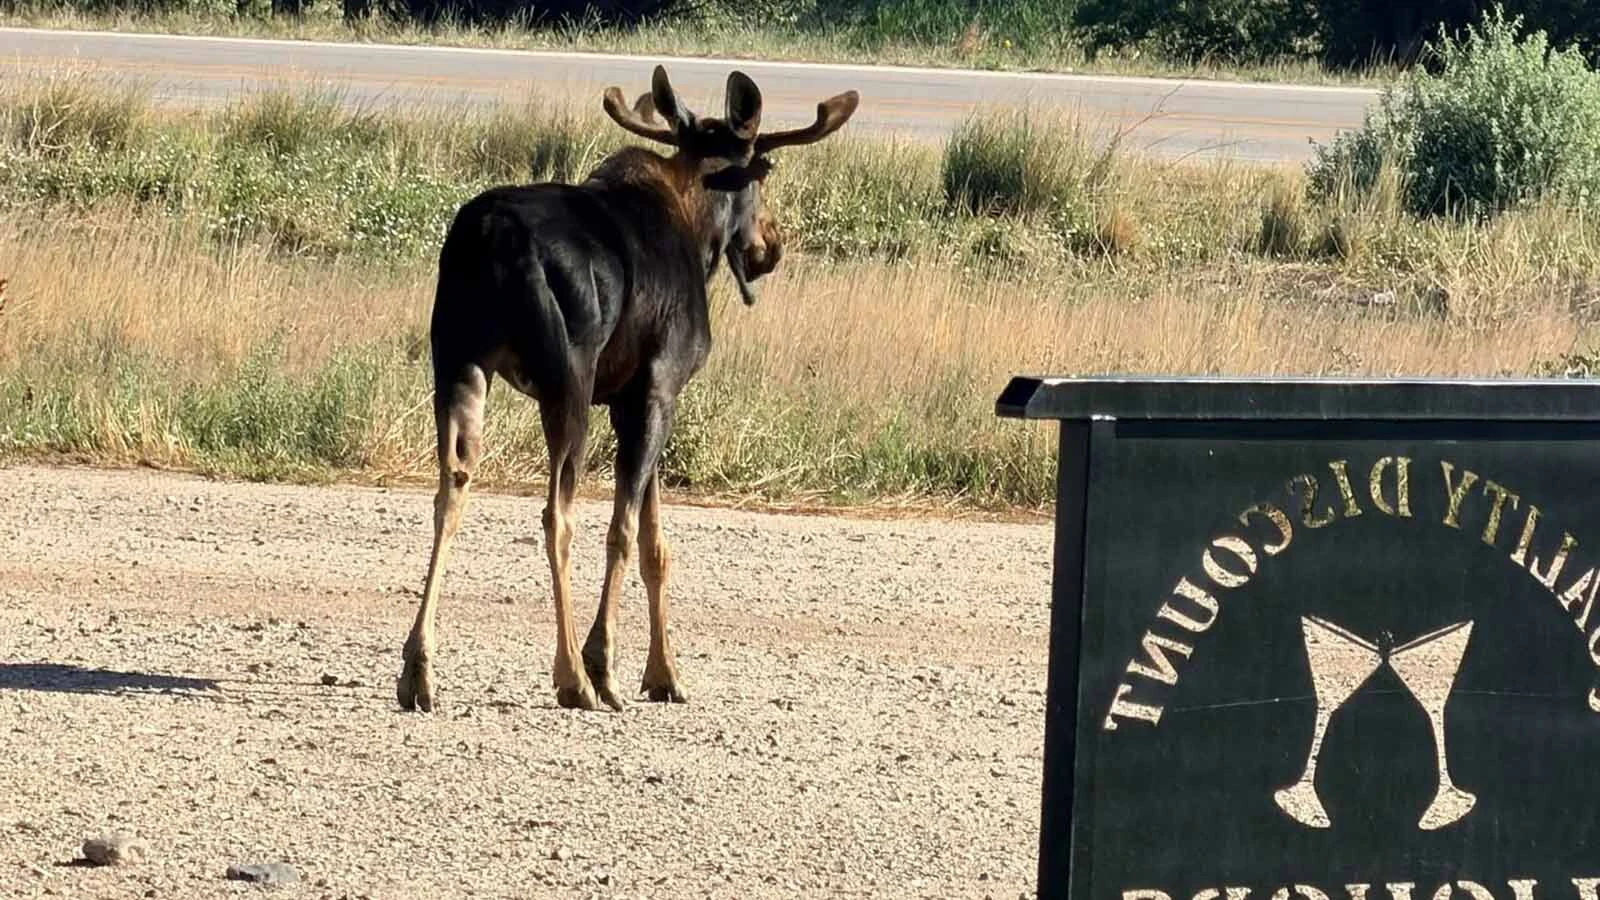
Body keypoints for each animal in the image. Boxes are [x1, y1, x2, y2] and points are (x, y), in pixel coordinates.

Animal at [396, 65, 859, 713]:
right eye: (764, 172)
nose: (771, 245)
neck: (699, 227)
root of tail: (490, 238)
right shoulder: (658, 385)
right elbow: (623, 530)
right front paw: (607, 663)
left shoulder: (633, 398)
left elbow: (655, 545)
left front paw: (664, 672)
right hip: (568, 380)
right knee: (557, 514)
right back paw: (572, 675)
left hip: (457, 362)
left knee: (450, 491)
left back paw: (418, 668)